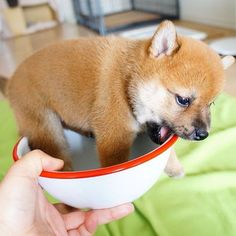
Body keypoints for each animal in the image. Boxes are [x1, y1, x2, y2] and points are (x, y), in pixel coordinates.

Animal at [1, 20, 234, 175]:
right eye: (183, 100)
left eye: (211, 103)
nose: (204, 134)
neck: (126, 82)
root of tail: (11, 80)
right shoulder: (115, 139)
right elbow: (115, 165)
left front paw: (174, 166)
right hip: (47, 128)